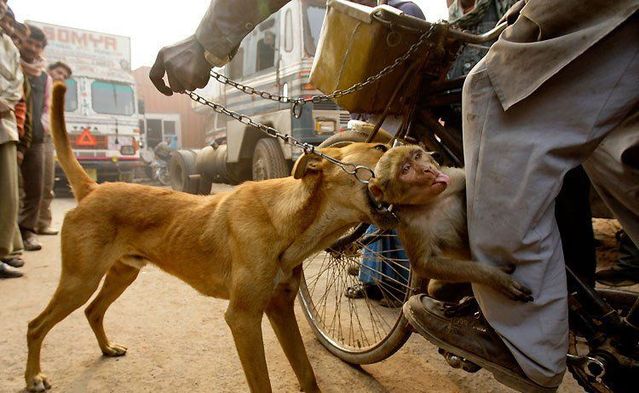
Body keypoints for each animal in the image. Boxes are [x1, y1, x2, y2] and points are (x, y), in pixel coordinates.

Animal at [25, 83, 390, 392]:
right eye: (381, 147)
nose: (413, 156)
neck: (287, 221)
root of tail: (93, 188)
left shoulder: (280, 308)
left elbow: (307, 373)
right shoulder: (243, 319)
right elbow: (263, 383)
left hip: (123, 273)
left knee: (92, 311)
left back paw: (106, 348)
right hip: (80, 279)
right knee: (35, 325)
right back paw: (34, 378)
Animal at [368, 145, 532, 302]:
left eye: (417, 156)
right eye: (406, 169)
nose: (427, 169)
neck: (433, 201)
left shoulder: (453, 177)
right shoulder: (408, 224)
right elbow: (426, 264)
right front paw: (494, 277)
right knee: (435, 289)